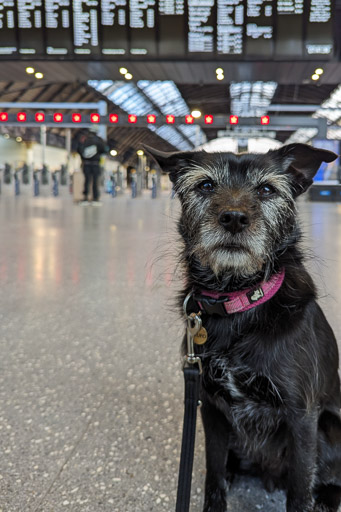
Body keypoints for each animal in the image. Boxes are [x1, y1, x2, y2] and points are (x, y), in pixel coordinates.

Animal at [145, 143, 340, 512]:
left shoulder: (302, 415)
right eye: (206, 185)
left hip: (330, 425)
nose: (233, 218)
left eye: (266, 189)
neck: (238, 302)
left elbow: (299, 488)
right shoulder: (211, 407)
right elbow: (213, 471)